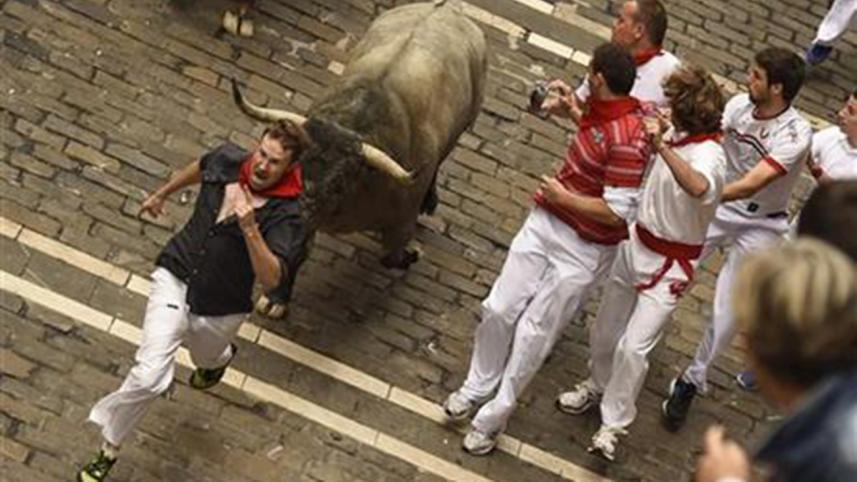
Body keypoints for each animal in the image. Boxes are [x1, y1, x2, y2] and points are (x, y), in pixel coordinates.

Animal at [232, 0, 487, 316]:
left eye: (339, 182)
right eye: (298, 166)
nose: (300, 205)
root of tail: (447, 9)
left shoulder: (401, 222)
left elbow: (391, 255)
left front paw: (413, 254)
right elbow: (298, 249)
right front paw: (277, 297)